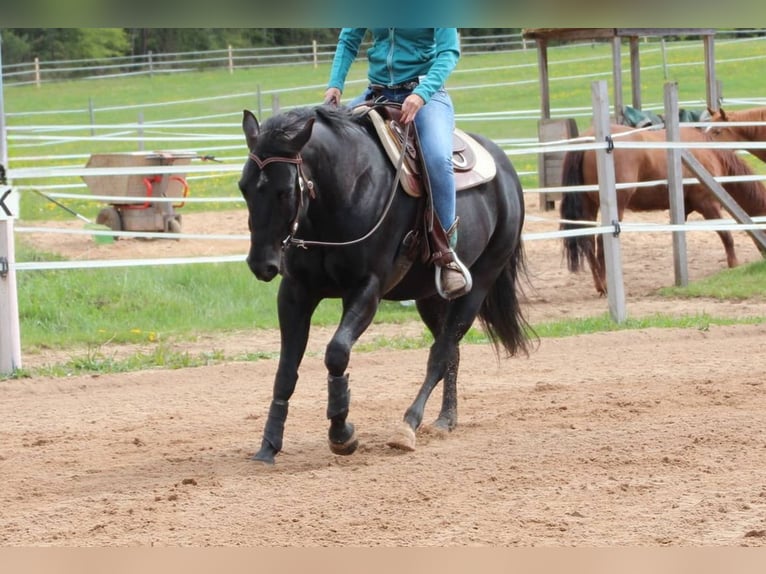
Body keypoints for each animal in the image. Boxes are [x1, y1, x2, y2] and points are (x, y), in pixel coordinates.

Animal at [239, 104, 532, 465]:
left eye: (285, 191)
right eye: (243, 187)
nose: (261, 264)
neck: (346, 190)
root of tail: (506, 169)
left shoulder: (368, 290)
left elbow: (337, 353)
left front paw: (342, 435)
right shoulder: (295, 293)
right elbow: (285, 370)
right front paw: (269, 444)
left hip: (477, 286)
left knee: (440, 353)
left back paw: (408, 426)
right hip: (430, 298)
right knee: (452, 352)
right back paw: (445, 419)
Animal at [560, 124, 766, 295]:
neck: (708, 153)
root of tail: (587, 140)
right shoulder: (708, 205)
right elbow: (726, 236)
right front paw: (734, 265)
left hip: (589, 205)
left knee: (588, 242)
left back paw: (600, 285)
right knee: (601, 242)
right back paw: (606, 286)